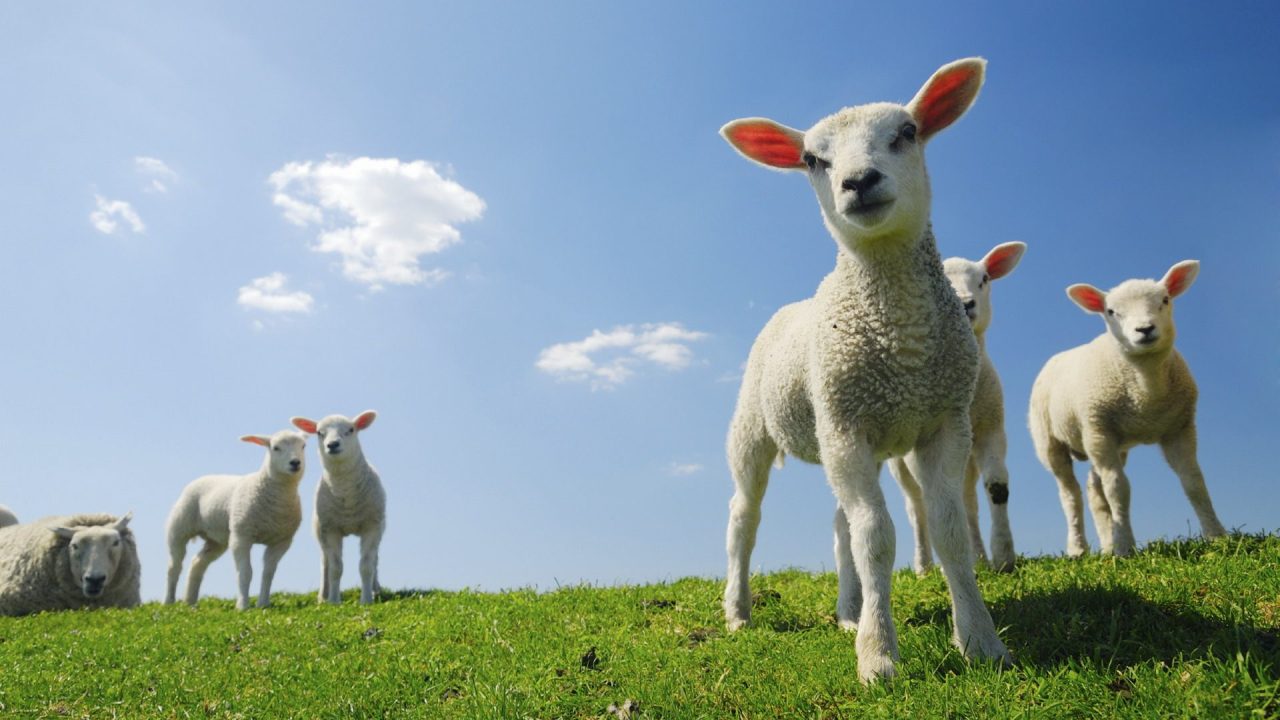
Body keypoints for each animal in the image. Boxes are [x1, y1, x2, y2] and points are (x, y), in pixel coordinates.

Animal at [164, 430, 308, 610]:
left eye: (303, 446)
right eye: (276, 447)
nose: (295, 463)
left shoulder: (281, 542)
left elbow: (268, 573)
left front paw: (263, 604)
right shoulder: (241, 536)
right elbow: (245, 572)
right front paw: (242, 606)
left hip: (216, 540)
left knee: (198, 562)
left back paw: (190, 601)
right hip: (179, 528)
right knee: (174, 566)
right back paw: (169, 601)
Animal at [290, 411, 385, 605]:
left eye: (351, 430)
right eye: (319, 432)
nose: (332, 444)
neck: (346, 494)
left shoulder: (371, 526)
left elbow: (366, 565)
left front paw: (366, 600)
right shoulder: (330, 529)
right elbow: (335, 567)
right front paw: (334, 601)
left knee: (375, 560)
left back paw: (376, 590)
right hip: (320, 530)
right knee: (325, 562)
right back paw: (323, 596)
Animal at [719, 57, 1009, 682]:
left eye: (907, 132)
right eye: (812, 159)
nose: (858, 181)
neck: (902, 342)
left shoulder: (944, 421)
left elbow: (948, 530)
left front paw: (980, 640)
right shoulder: (847, 427)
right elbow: (876, 537)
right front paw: (878, 657)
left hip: (851, 435)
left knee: (839, 525)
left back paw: (849, 611)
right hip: (761, 428)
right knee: (744, 519)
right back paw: (738, 611)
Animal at [890, 241, 1026, 574]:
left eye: (984, 279)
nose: (965, 304)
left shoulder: (992, 428)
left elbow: (997, 487)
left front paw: (1003, 556)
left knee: (966, 501)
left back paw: (978, 556)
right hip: (899, 463)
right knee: (916, 507)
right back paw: (924, 566)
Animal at [1029, 260, 1226, 557]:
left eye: (1165, 300)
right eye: (1111, 312)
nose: (1144, 329)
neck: (1146, 393)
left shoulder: (1179, 428)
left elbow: (1194, 481)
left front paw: (1217, 536)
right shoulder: (1099, 429)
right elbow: (1118, 489)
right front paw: (1125, 547)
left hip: (1106, 441)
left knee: (1094, 489)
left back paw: (1107, 544)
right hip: (1052, 440)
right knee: (1070, 494)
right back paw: (1078, 548)